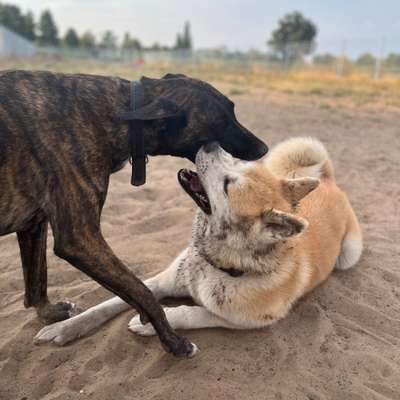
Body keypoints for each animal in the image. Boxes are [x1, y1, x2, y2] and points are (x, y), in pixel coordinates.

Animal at [0, 70, 268, 358]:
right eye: (219, 121)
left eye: (233, 110)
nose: (264, 148)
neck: (118, 113)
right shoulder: (80, 239)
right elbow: (141, 291)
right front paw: (173, 342)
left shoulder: (32, 225)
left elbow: (36, 282)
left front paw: (50, 314)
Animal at [35, 138, 362, 344]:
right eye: (237, 160)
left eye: (228, 185)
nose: (210, 143)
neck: (217, 264)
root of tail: (329, 181)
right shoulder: (161, 281)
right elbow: (110, 302)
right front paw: (65, 327)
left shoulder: (243, 320)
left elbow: (191, 312)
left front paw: (151, 323)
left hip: (349, 256)